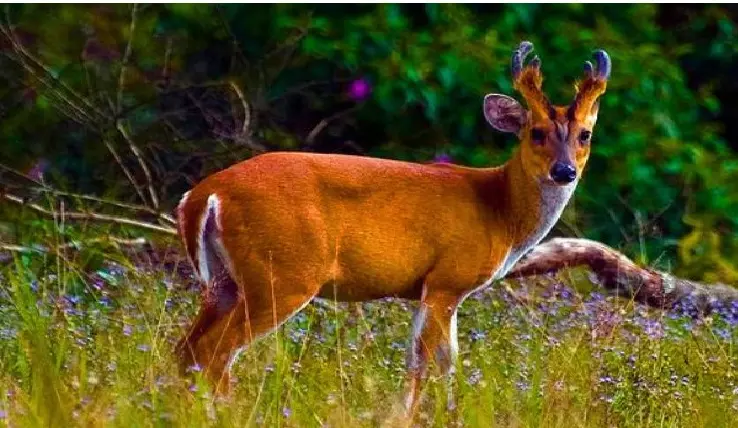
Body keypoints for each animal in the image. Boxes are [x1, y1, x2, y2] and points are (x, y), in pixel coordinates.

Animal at [174, 41, 611, 418]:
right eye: (536, 132)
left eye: (585, 134)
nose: (564, 171)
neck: (499, 211)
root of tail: (204, 194)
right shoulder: (448, 280)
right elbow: (428, 362)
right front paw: (411, 416)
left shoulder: (437, 288)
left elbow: (438, 362)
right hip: (282, 273)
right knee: (215, 350)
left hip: (225, 280)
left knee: (187, 348)